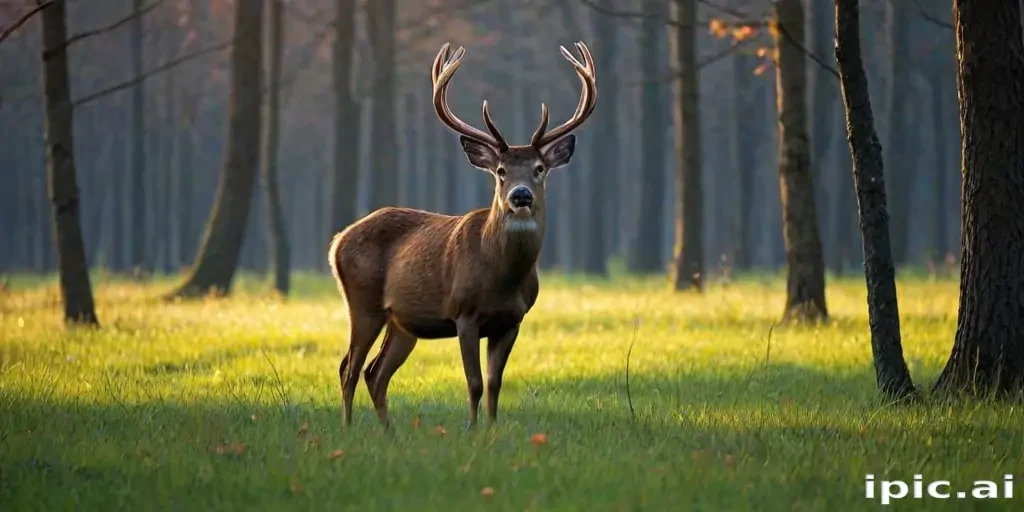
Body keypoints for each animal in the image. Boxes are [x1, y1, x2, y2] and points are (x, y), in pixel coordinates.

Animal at [328, 41, 597, 428]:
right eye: (500, 170)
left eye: (539, 169)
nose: (521, 196)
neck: (501, 277)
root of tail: (337, 241)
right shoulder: (464, 313)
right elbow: (474, 383)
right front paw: (471, 431)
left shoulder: (512, 320)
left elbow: (495, 383)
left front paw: (491, 431)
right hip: (362, 302)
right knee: (349, 367)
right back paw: (349, 429)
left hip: (403, 322)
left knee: (375, 373)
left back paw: (390, 434)